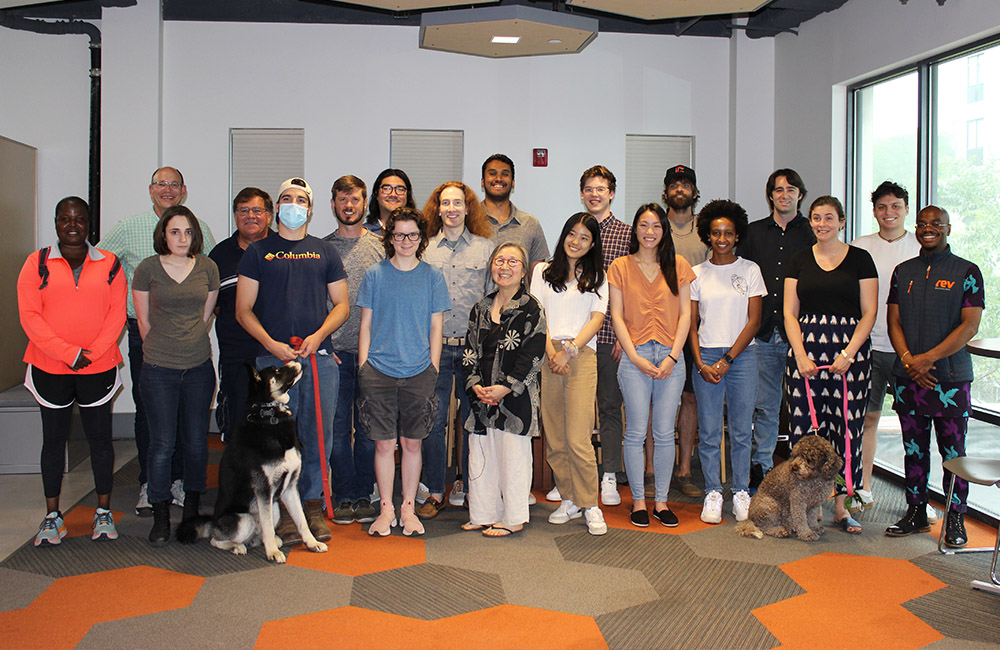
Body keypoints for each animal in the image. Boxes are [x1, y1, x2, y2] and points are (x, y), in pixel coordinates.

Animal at [174, 360, 326, 560]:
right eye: (276, 371)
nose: (297, 359)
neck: (270, 418)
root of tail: (213, 522)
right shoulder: (263, 490)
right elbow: (268, 527)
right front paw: (272, 553)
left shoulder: (290, 487)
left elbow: (301, 521)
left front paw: (312, 543)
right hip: (243, 519)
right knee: (216, 539)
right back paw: (238, 546)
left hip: (275, 507)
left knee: (259, 533)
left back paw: (271, 541)